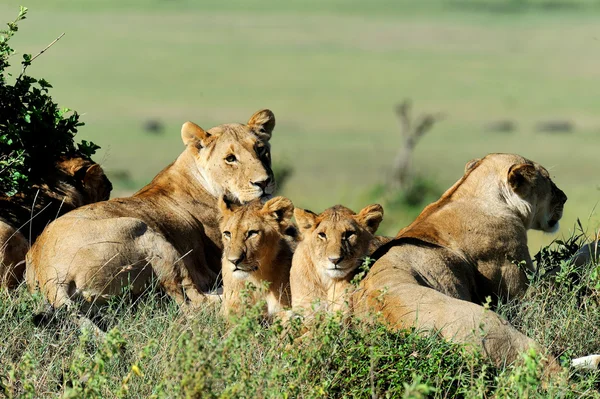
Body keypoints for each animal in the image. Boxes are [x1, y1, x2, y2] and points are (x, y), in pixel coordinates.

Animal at [24, 110, 276, 312]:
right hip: (146, 233)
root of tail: (49, 275)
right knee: (191, 301)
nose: (264, 182)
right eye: (230, 159)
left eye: (261, 150)